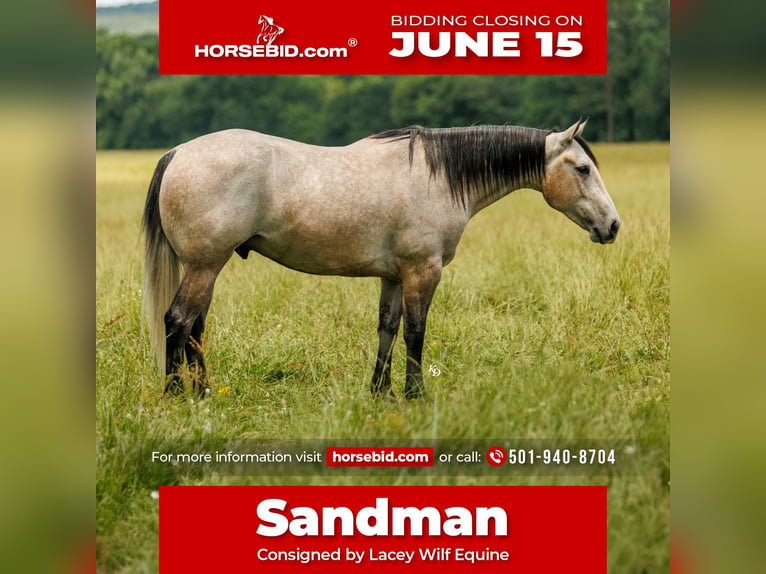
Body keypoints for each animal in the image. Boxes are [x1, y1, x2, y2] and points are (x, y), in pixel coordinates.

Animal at [142, 119, 620, 400]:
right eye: (582, 169)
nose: (613, 226)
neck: (438, 176)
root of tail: (179, 152)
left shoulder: (393, 276)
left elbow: (387, 329)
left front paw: (379, 391)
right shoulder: (423, 271)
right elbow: (415, 332)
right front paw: (415, 394)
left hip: (207, 267)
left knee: (196, 328)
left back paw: (204, 392)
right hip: (205, 266)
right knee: (179, 321)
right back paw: (176, 394)